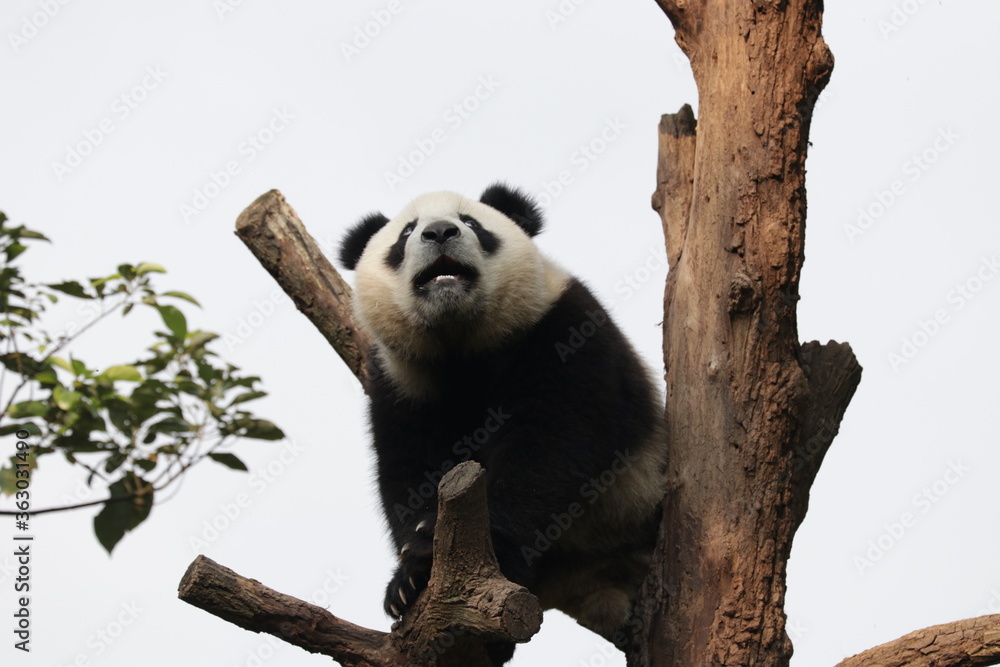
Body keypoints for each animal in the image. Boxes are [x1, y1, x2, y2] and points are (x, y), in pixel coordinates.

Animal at [338, 183, 667, 664]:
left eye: (471, 222)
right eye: (407, 233)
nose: (439, 232)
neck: (462, 345)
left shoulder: (561, 330)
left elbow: (552, 446)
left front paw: (452, 544)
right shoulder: (402, 379)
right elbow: (409, 466)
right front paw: (409, 579)